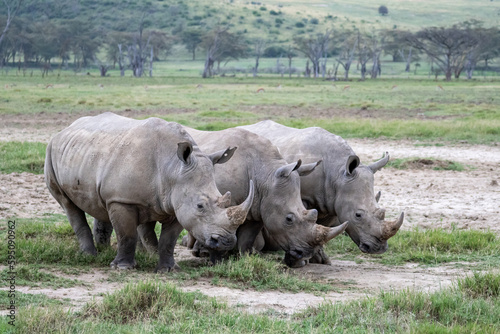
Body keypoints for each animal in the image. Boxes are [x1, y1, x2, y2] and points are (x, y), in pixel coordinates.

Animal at [45, 112, 254, 272]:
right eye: (200, 206)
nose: (226, 242)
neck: (172, 168)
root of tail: (65, 130)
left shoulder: (176, 204)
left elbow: (168, 241)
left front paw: (169, 269)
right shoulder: (123, 200)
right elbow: (127, 234)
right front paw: (122, 268)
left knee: (100, 203)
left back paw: (104, 251)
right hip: (51, 152)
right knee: (68, 204)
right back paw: (90, 255)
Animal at [240, 120, 404, 264]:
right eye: (358, 215)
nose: (378, 248)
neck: (338, 173)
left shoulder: (332, 201)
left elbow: (321, 226)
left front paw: (319, 259)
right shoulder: (302, 196)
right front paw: (299, 261)